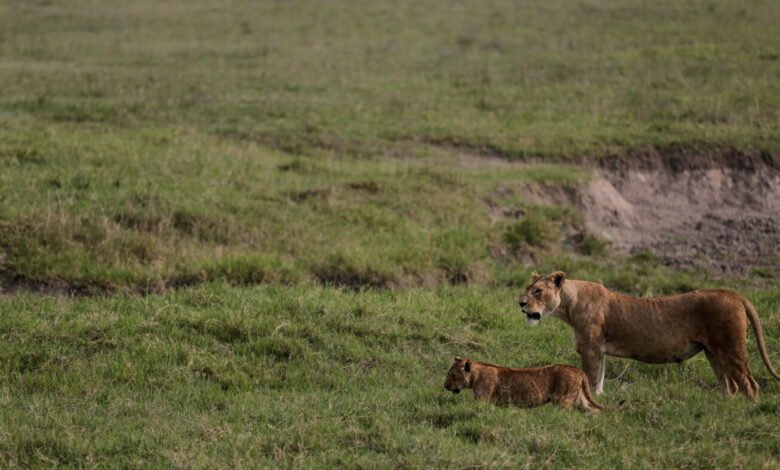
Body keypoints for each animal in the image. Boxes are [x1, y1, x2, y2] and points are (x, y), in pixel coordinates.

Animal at [443, 356, 603, 412]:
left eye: (453, 375)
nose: (444, 386)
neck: (475, 375)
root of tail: (578, 370)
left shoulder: (482, 399)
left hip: (562, 399)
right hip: (580, 399)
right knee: (593, 411)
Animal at [518, 271, 780, 400]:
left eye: (538, 291)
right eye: (527, 289)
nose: (520, 303)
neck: (569, 304)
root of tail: (735, 294)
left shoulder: (590, 348)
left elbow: (590, 378)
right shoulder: (599, 350)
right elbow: (599, 378)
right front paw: (600, 399)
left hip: (731, 348)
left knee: (750, 385)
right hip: (713, 353)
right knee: (730, 386)